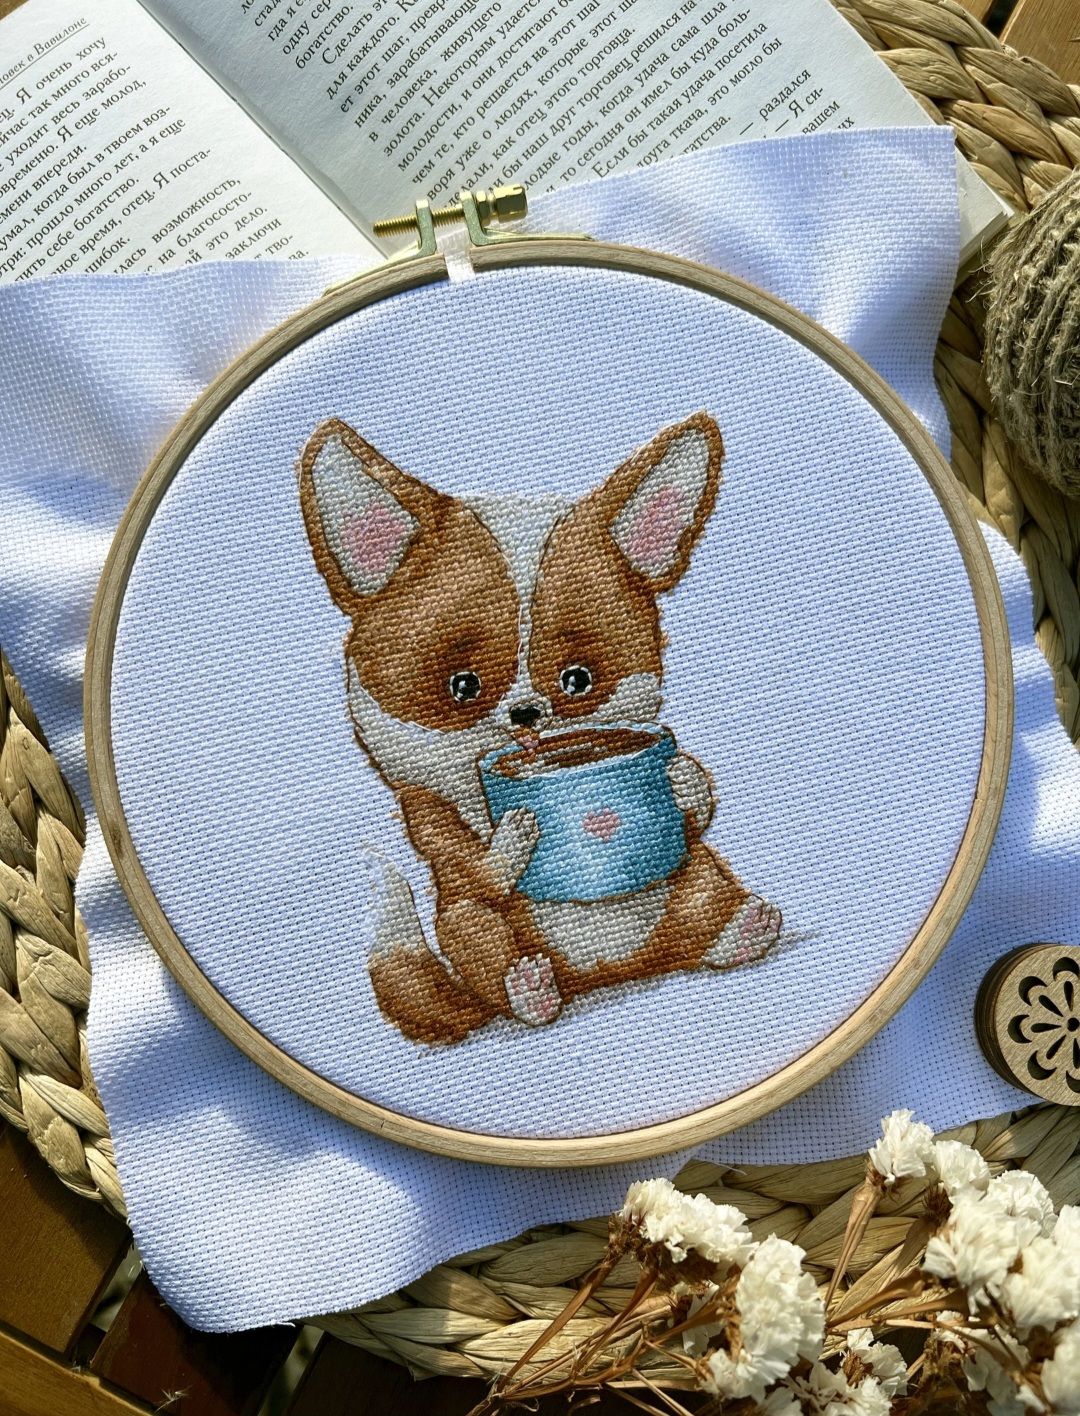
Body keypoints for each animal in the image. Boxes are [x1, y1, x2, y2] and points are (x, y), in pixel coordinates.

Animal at [299, 411, 782, 1045]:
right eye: (463, 686)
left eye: (578, 680)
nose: (526, 713)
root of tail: (603, 971)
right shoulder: (428, 817)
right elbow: (475, 867)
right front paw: (514, 834)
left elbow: (694, 810)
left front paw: (685, 779)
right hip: (470, 929)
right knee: (487, 946)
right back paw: (528, 989)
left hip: (693, 873)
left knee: (695, 915)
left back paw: (742, 930)